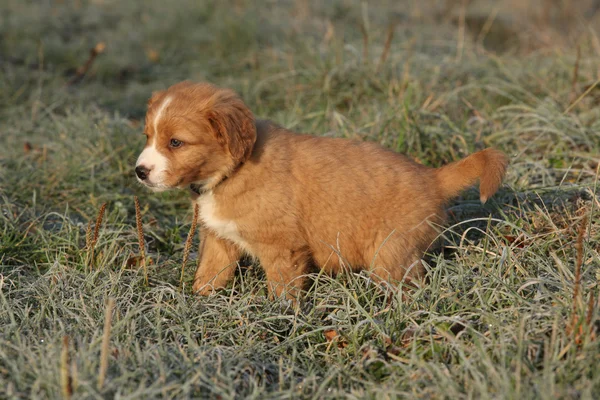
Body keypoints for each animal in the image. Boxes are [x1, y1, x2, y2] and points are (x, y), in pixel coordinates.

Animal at [135, 82, 506, 300]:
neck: (231, 172)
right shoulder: (218, 239)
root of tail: (432, 177)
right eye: (148, 136)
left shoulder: (281, 248)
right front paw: (197, 303)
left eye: (176, 142)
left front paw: (279, 321)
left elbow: (283, 291)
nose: (140, 171)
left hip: (390, 253)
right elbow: (209, 274)